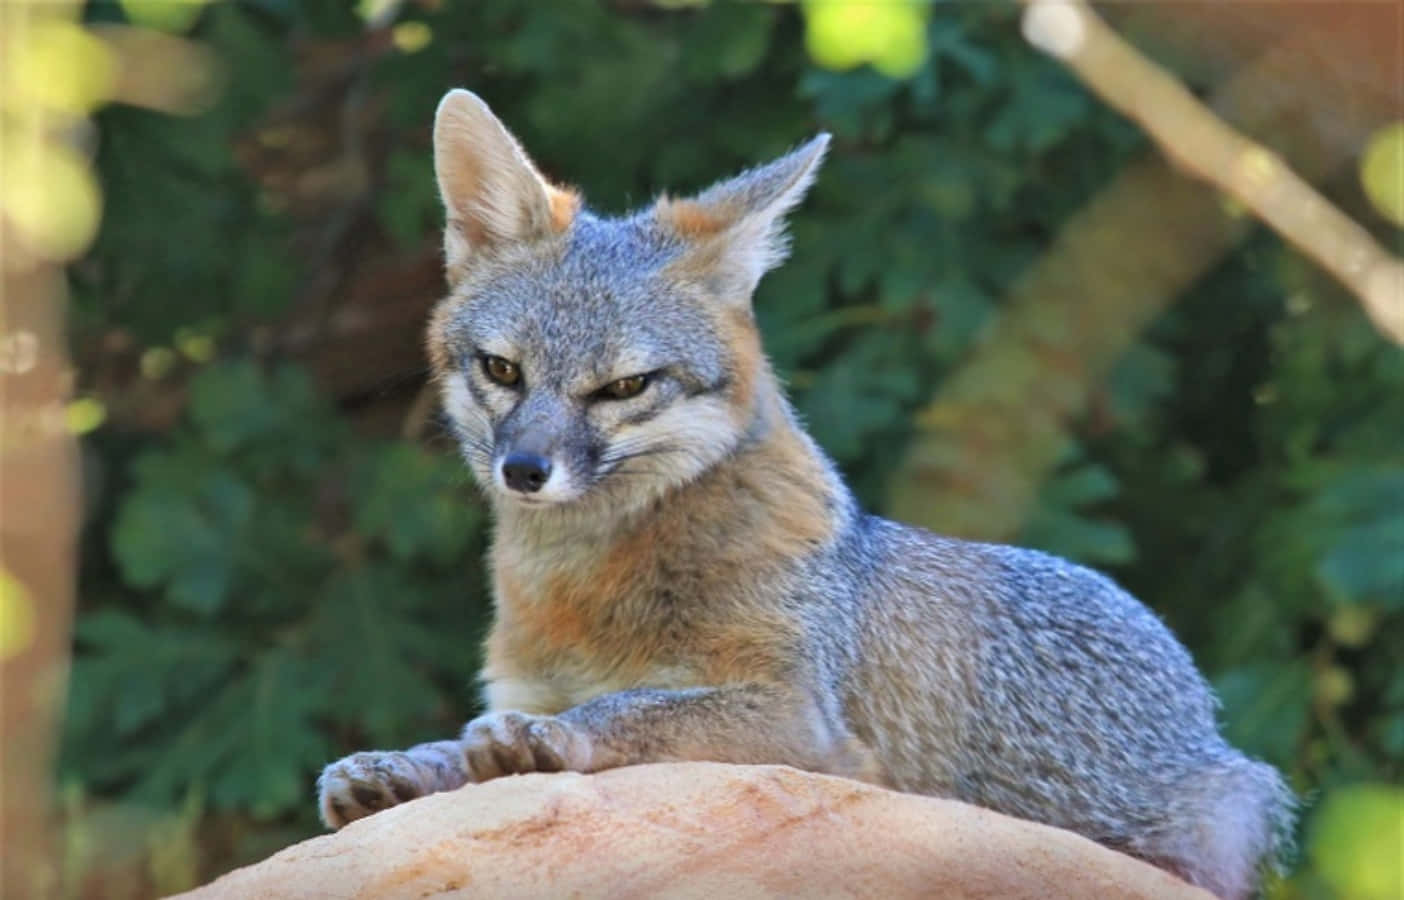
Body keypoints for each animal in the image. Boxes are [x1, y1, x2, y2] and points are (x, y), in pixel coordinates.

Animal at [316, 89, 1294, 899]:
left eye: (624, 387)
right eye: (502, 370)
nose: (523, 469)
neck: (588, 590)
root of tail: (1197, 702)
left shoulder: (798, 716)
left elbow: (636, 707)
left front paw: (552, 742)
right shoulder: (522, 684)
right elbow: (463, 744)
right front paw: (408, 764)